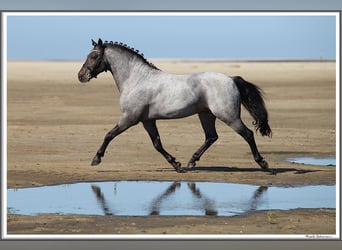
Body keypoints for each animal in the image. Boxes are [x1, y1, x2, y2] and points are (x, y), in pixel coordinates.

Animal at [78, 39, 272, 173]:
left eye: (94, 56)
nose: (81, 76)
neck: (137, 79)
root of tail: (231, 79)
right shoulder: (147, 121)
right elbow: (157, 144)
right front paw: (176, 165)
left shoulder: (129, 118)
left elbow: (109, 135)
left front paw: (96, 159)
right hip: (206, 115)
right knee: (211, 137)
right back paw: (191, 162)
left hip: (229, 117)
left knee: (247, 134)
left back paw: (263, 164)